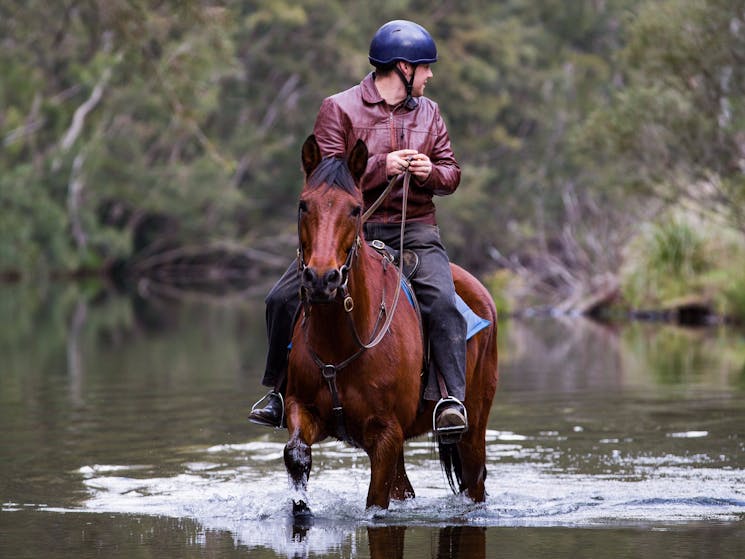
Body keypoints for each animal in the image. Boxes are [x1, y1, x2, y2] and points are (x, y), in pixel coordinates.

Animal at [284, 135, 500, 512]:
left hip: (473, 425)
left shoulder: (386, 435)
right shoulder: (303, 408)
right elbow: (295, 455)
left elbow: (376, 503)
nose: (322, 279)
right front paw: (302, 506)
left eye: (355, 208)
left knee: (475, 480)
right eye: (303, 205)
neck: (342, 339)